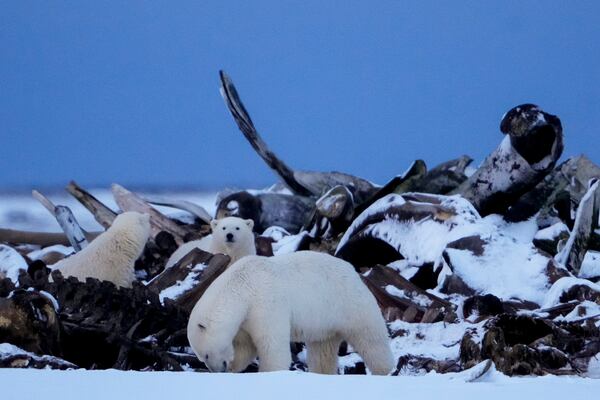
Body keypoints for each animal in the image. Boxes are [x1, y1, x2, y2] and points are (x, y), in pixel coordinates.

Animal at [186, 250, 394, 376]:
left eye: (205, 355)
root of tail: (353, 271)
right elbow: (245, 346)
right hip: (324, 322)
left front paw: (269, 372)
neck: (242, 285)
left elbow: (271, 344)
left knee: (371, 338)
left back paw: (383, 370)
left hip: (349, 303)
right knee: (322, 350)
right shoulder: (246, 318)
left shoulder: (266, 301)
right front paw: (234, 366)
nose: (218, 370)